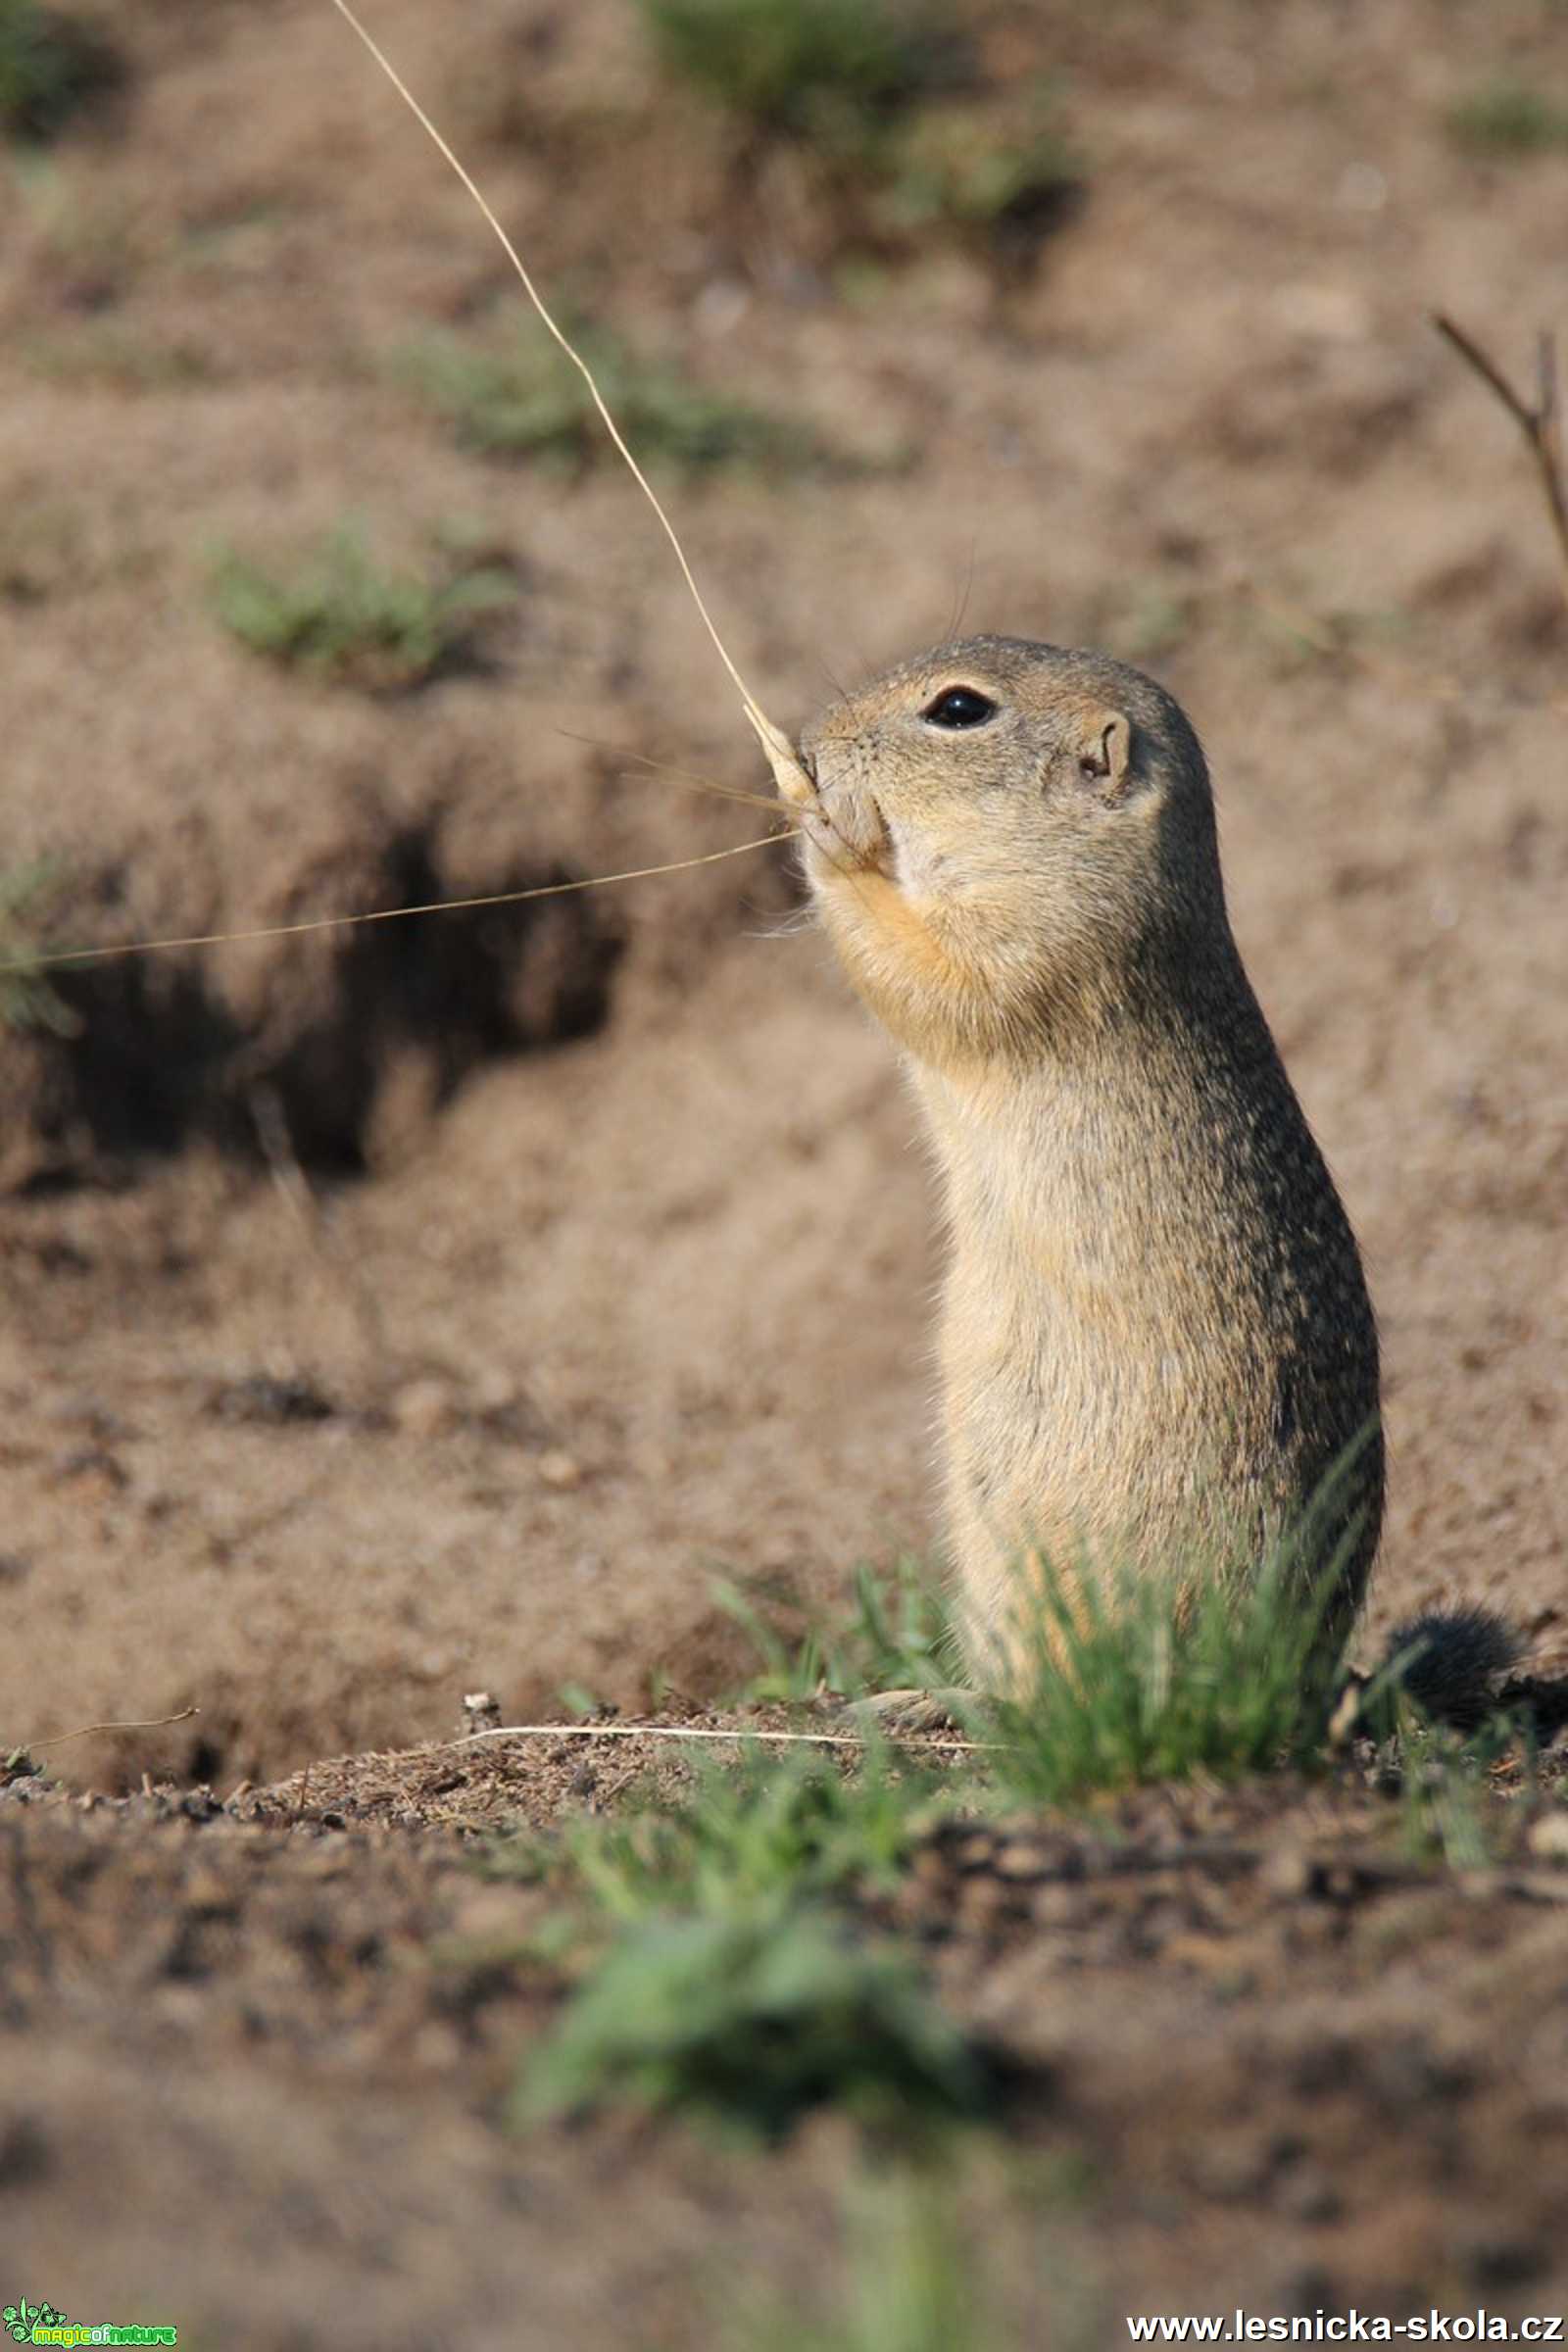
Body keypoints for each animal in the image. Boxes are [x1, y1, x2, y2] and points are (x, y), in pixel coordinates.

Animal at [780, 635, 1382, 1702]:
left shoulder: (1042, 941)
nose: (813, 738)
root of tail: (1288, 1680)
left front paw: (822, 830)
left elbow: (930, 972)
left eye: (959, 709)